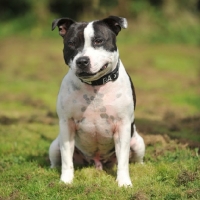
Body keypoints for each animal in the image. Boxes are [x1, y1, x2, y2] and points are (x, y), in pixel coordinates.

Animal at [49, 16, 145, 188]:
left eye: (99, 41)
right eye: (71, 43)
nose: (82, 61)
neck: (95, 85)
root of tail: (97, 162)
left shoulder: (122, 126)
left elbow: (123, 160)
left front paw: (124, 183)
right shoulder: (66, 125)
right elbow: (66, 159)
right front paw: (66, 181)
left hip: (138, 143)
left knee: (136, 159)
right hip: (55, 146)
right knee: (57, 159)